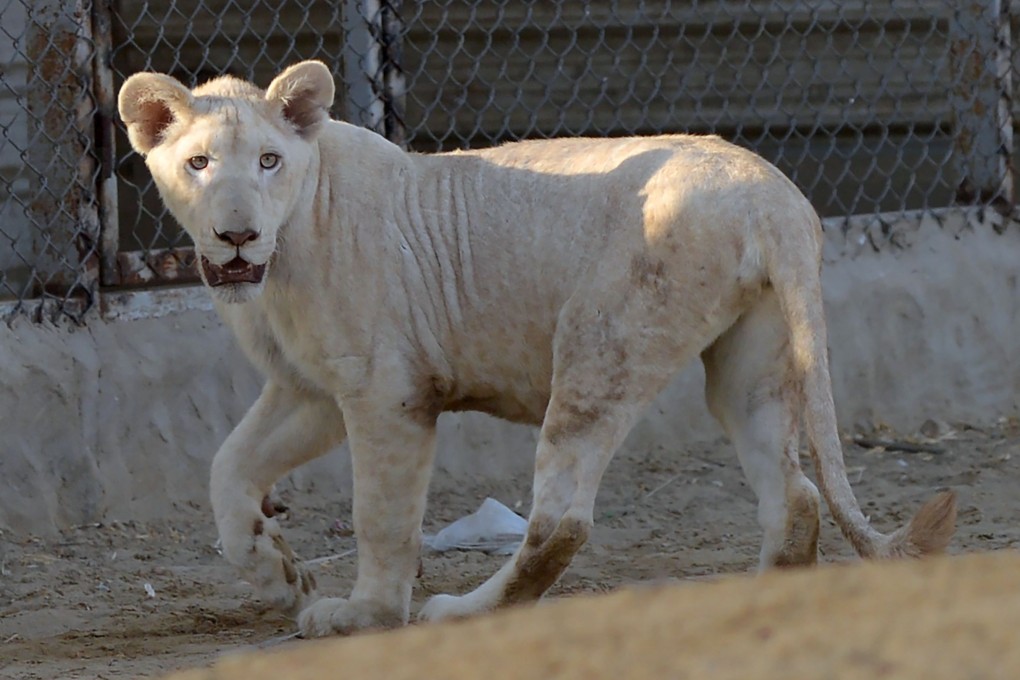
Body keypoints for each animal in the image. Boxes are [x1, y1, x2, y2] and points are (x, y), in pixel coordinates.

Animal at [118, 60, 956, 638]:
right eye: (197, 164)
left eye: (269, 161)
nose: (236, 234)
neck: (285, 251)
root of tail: (769, 191)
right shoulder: (312, 389)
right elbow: (228, 469)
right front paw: (274, 569)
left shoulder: (386, 392)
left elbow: (379, 515)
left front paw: (363, 613)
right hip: (751, 362)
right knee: (798, 494)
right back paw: (761, 599)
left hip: (600, 341)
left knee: (562, 520)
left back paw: (461, 610)